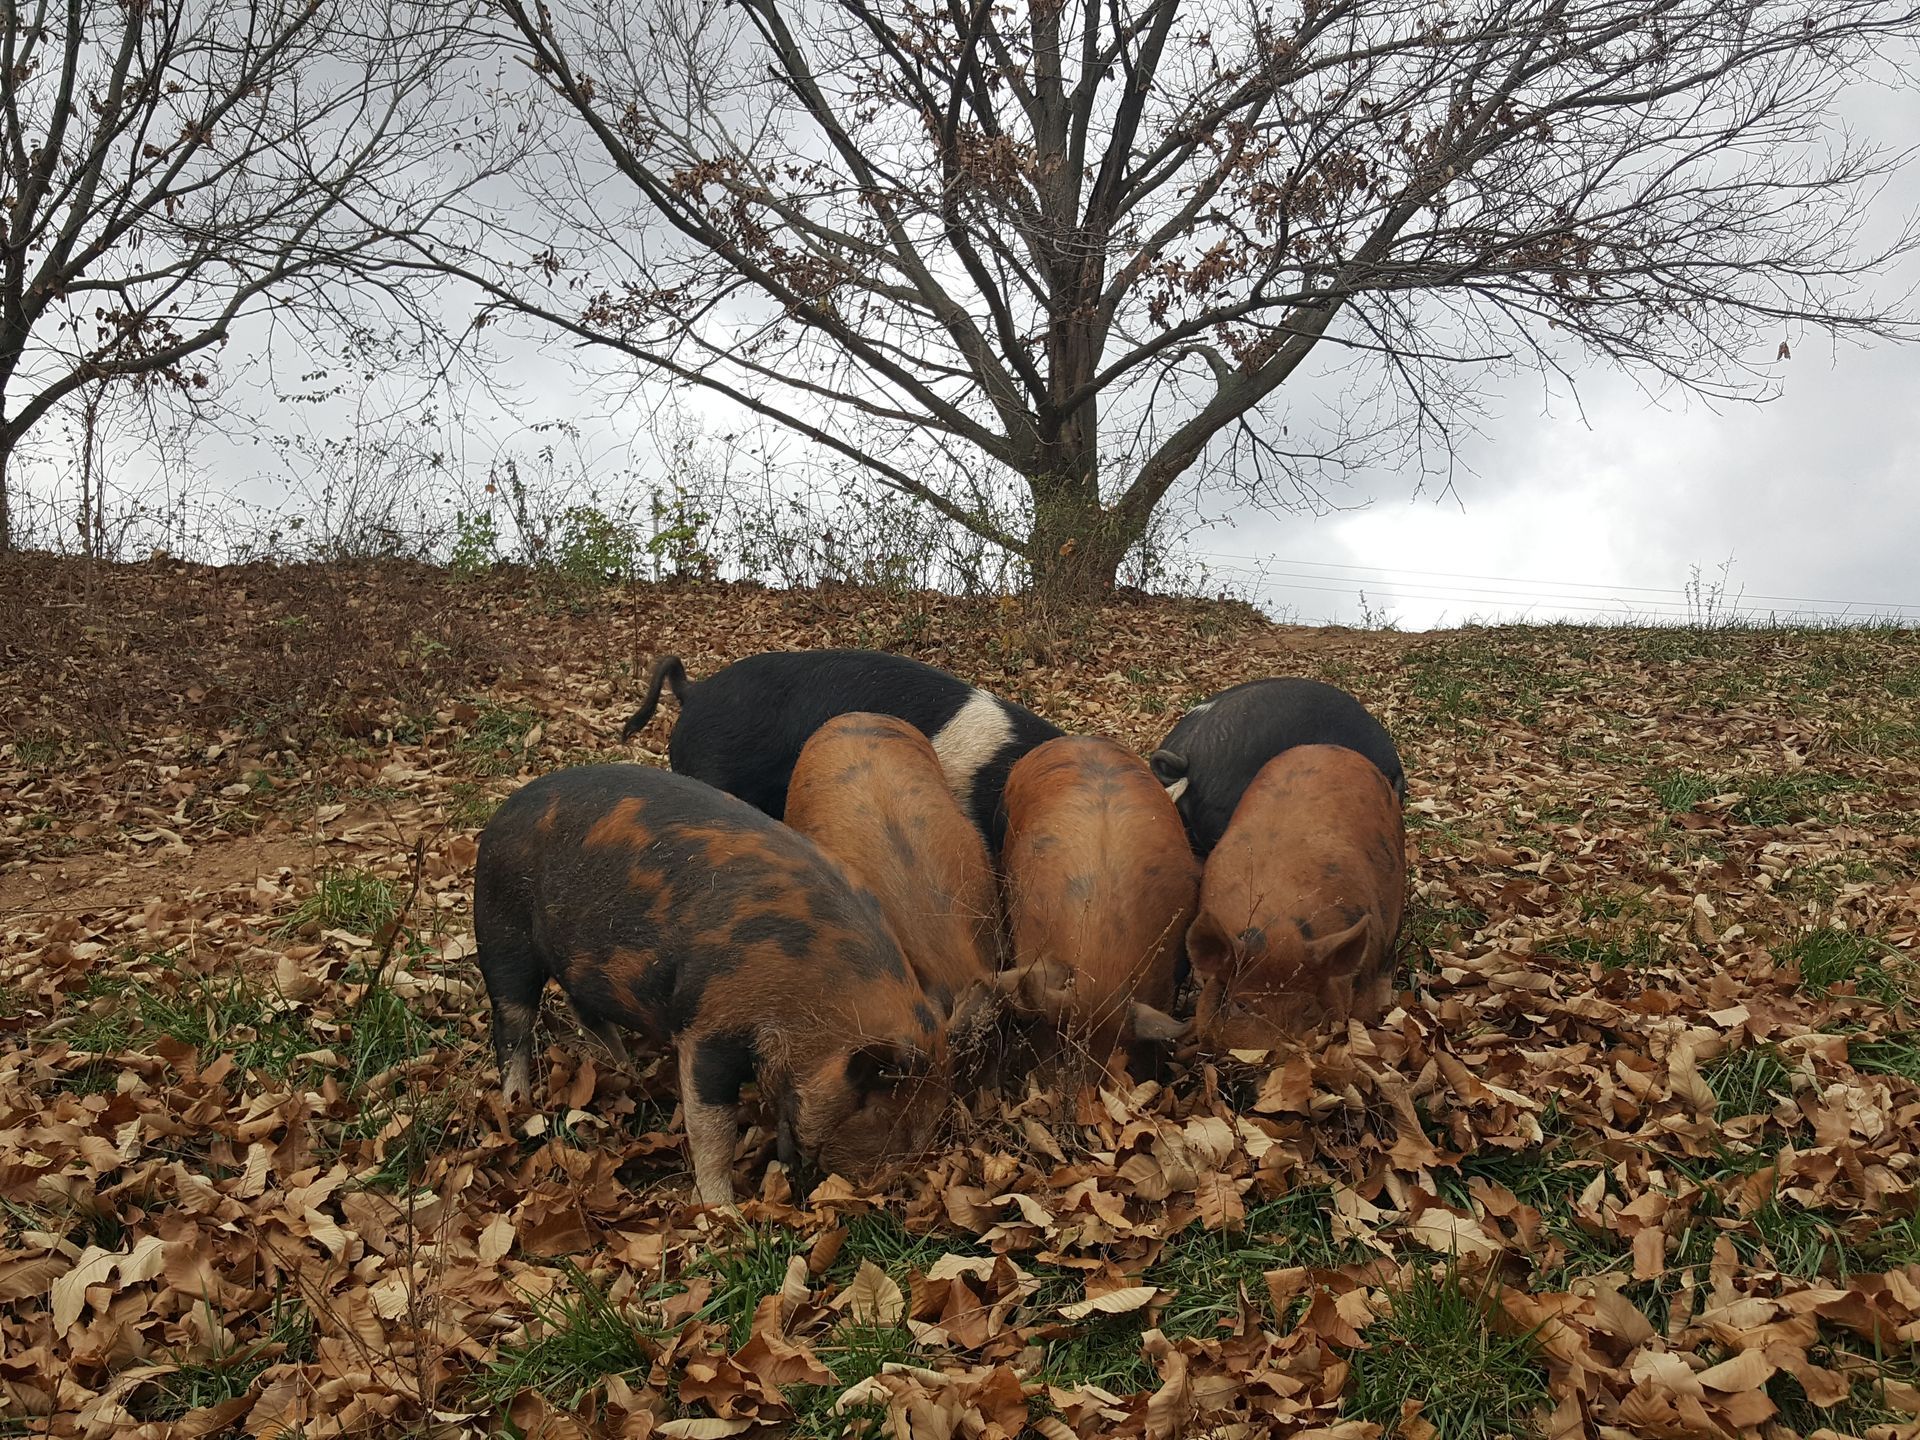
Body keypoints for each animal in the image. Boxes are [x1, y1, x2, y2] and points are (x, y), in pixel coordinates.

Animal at [472, 763, 950, 1206]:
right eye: (886, 1118)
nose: (886, 1191)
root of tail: (503, 811)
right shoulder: (710, 1026)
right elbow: (712, 1126)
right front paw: (724, 1212)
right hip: (502, 933)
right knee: (511, 1026)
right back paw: (519, 1104)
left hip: (584, 962)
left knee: (584, 1009)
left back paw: (628, 1073)